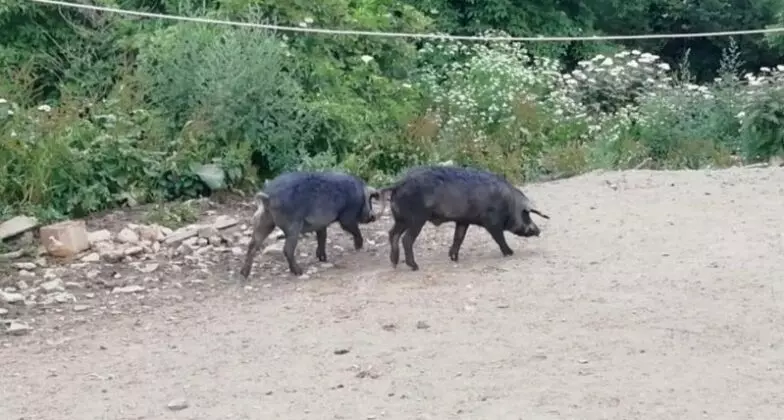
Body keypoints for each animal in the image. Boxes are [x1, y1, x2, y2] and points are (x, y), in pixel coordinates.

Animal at [239, 171, 385, 278]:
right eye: (370, 200)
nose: (373, 217)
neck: (360, 196)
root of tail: (267, 196)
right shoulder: (347, 216)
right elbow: (353, 228)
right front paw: (358, 247)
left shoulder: (321, 224)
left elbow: (322, 237)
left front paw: (323, 259)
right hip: (292, 226)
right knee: (287, 249)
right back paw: (299, 272)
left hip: (265, 221)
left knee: (253, 244)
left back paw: (244, 274)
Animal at [377, 165, 549, 271]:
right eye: (526, 214)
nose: (539, 231)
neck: (509, 204)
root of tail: (398, 184)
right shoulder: (491, 222)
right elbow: (499, 238)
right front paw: (510, 253)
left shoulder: (463, 220)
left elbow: (458, 237)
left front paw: (454, 258)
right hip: (416, 219)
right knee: (406, 239)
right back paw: (415, 266)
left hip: (401, 219)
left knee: (392, 234)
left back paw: (394, 263)